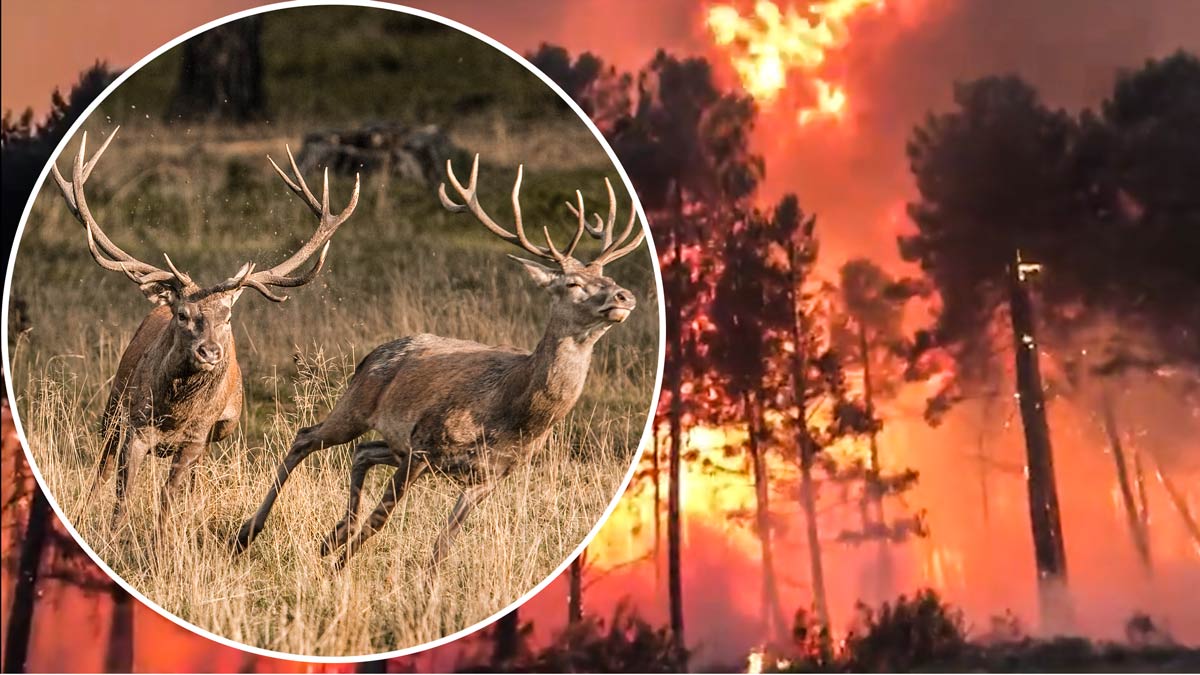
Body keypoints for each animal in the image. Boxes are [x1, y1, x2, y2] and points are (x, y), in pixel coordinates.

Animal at [52, 130, 360, 526]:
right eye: (183, 315)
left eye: (226, 317)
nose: (209, 351)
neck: (175, 414)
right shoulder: (135, 428)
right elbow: (122, 495)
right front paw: (113, 532)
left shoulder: (196, 439)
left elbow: (168, 497)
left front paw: (164, 536)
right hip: (113, 406)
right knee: (100, 470)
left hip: (214, 434)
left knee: (194, 479)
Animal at [234, 154, 648, 564]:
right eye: (572, 283)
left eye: (608, 277)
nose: (624, 296)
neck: (514, 416)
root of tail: (372, 354)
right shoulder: (424, 444)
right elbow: (380, 520)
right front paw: (339, 567)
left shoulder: (490, 476)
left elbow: (442, 545)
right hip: (356, 406)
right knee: (307, 437)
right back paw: (248, 533)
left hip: (393, 442)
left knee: (362, 451)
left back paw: (332, 534)